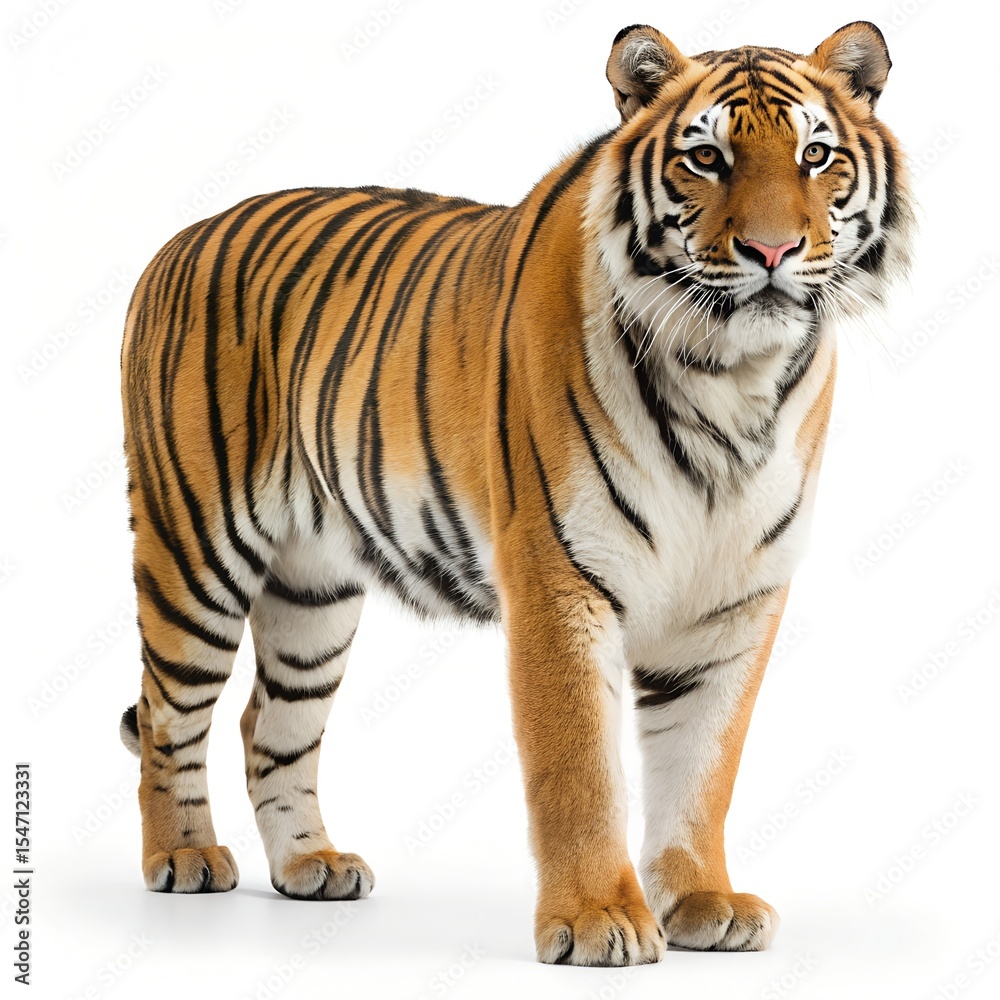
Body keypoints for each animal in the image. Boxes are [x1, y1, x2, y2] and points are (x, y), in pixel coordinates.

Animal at [118, 21, 914, 966]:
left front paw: (703, 901)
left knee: (267, 726)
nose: (772, 253)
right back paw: (185, 857)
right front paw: (597, 918)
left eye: (815, 155)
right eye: (707, 158)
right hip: (194, 550)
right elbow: (577, 767)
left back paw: (312, 866)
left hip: (312, 590)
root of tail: (180, 235)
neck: (731, 379)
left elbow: (703, 765)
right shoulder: (559, 577)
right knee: (168, 714)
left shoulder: (735, 600)